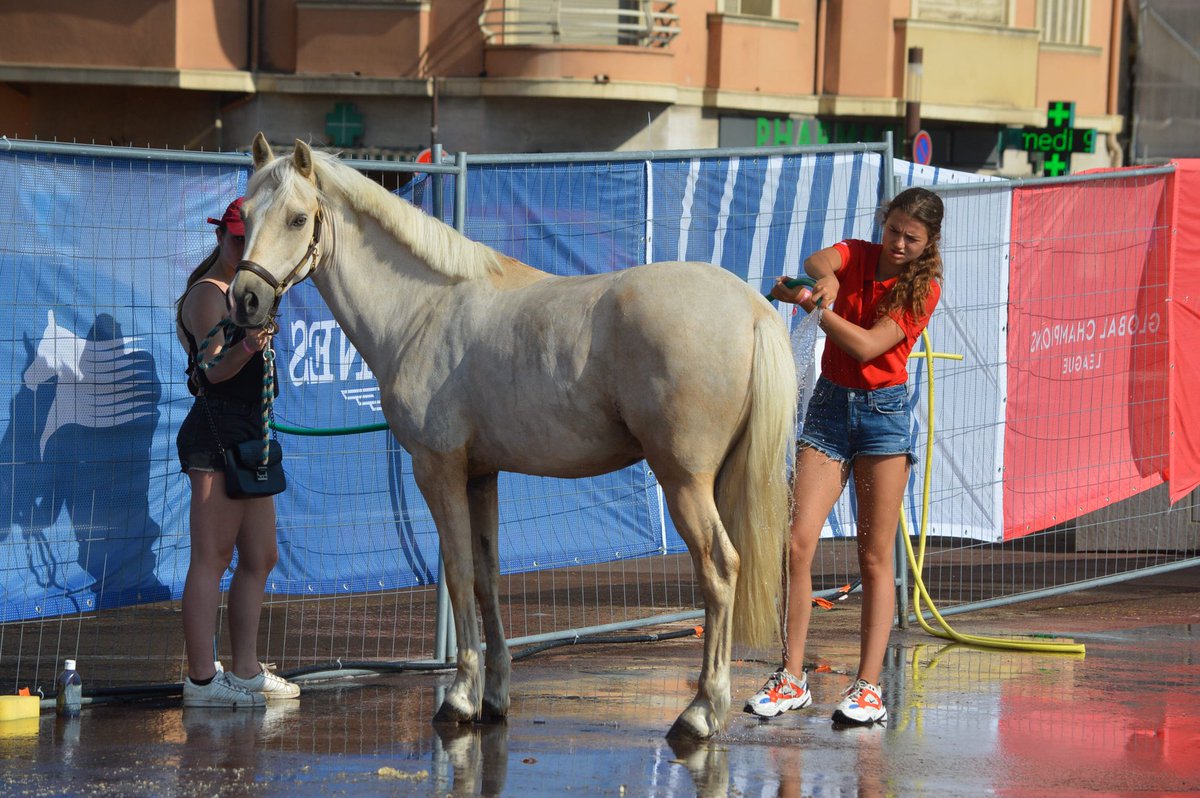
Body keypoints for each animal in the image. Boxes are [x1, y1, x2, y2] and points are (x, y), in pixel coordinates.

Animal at [230, 134, 797, 739]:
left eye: (296, 218)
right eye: (247, 214)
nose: (244, 300)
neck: (423, 308)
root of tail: (753, 309)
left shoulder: (438, 468)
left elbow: (456, 574)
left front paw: (459, 698)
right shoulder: (482, 474)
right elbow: (486, 578)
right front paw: (495, 696)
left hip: (684, 479)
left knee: (719, 568)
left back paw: (702, 709)